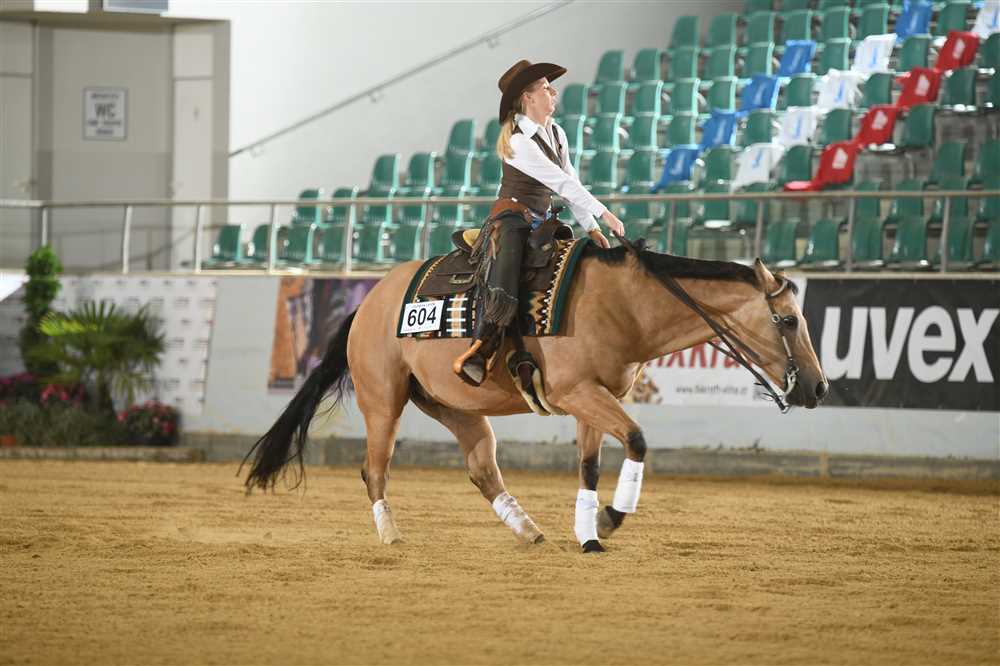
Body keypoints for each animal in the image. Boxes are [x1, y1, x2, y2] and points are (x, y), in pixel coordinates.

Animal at [242, 240, 828, 552]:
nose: (819, 386)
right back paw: (390, 535)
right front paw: (611, 519)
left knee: (482, 469)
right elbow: (638, 440)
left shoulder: (594, 398)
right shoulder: (579, 392)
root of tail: (368, 304)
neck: (622, 303)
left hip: (457, 408)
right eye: (788, 319)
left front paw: (589, 534)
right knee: (374, 469)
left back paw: (527, 529)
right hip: (383, 401)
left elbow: (591, 466)